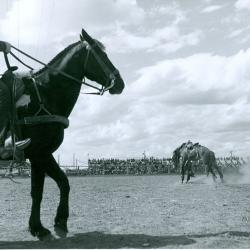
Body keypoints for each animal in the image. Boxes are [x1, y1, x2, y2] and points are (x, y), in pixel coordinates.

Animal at [11, 29, 124, 240]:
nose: (120, 83)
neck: (44, 96)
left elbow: (42, 190)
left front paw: (40, 225)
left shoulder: (39, 157)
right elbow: (60, 183)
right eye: (101, 54)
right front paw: (53, 223)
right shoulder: (40, 154)